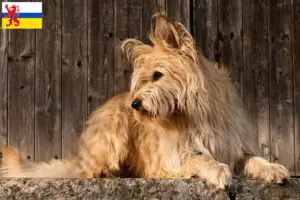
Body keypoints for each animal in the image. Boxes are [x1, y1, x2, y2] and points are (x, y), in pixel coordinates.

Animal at [1, 12, 290, 189]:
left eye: (158, 75)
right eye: (142, 79)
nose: (135, 105)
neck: (196, 114)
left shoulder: (235, 146)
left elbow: (254, 159)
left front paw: (273, 168)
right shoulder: (174, 157)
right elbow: (200, 158)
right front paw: (218, 169)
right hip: (114, 128)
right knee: (87, 171)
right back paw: (104, 172)